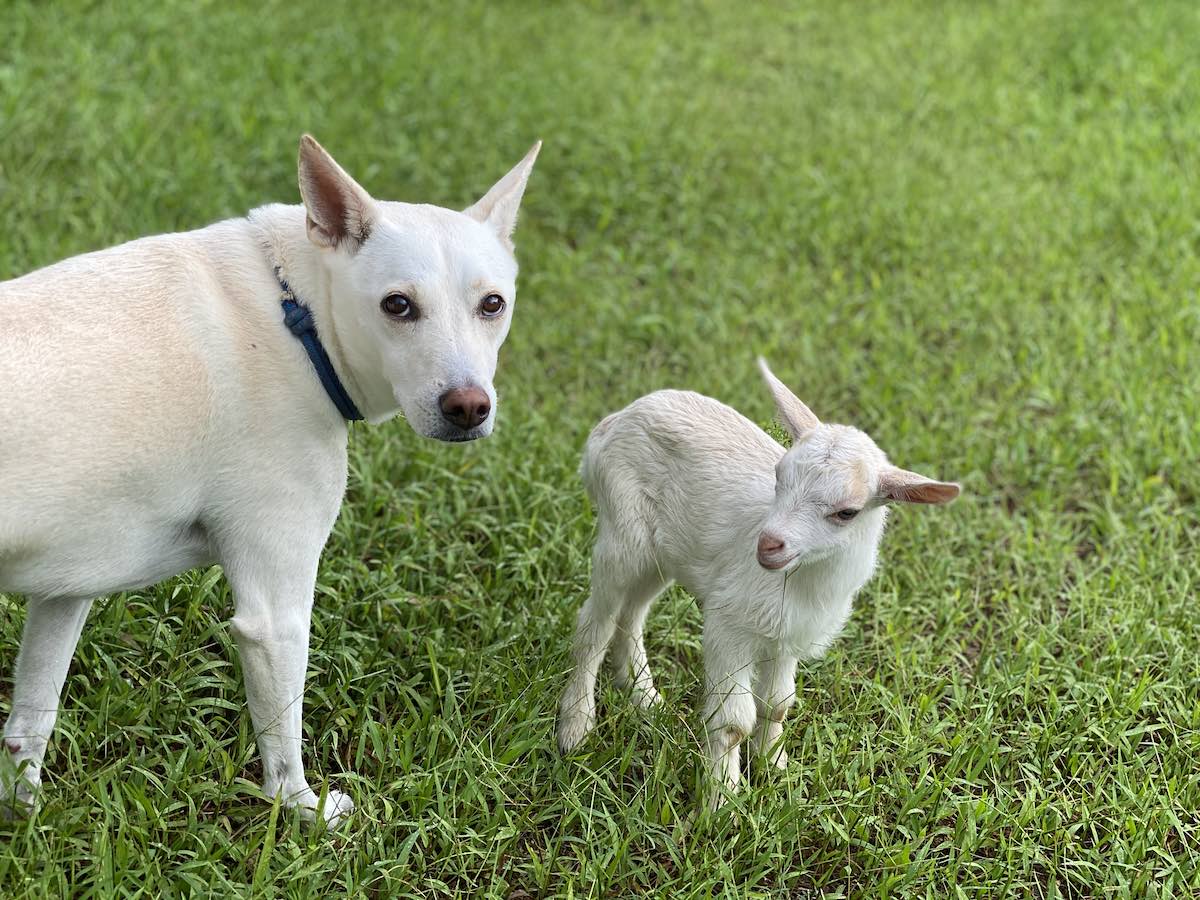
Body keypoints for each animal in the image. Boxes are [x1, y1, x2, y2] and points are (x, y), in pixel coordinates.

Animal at [0, 132, 540, 825]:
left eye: (492, 305)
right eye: (398, 306)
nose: (469, 407)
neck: (295, 312)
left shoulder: (66, 587)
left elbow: (31, 717)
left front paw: (25, 812)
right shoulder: (274, 614)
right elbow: (282, 743)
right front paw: (305, 814)